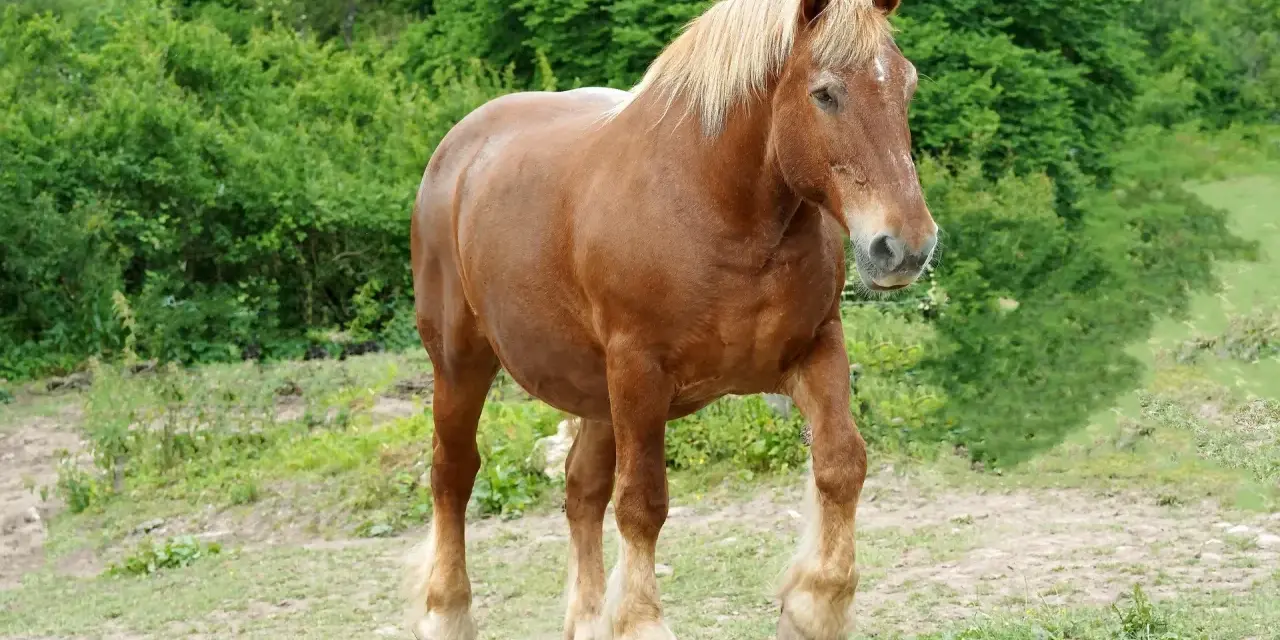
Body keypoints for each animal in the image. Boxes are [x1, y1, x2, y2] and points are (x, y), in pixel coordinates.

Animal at [404, 0, 938, 637]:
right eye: (825, 93)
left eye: (906, 85)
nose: (905, 247)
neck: (718, 207)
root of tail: (457, 153)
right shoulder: (639, 372)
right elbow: (642, 503)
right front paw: (641, 621)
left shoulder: (817, 350)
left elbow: (841, 464)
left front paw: (815, 605)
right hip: (461, 364)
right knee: (453, 476)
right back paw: (445, 612)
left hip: (595, 392)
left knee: (581, 489)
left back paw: (587, 619)